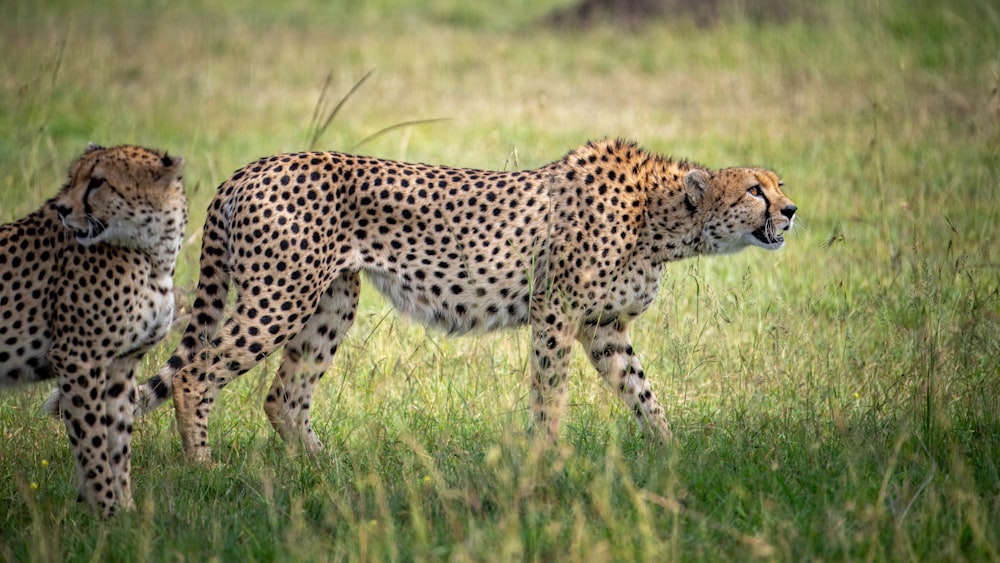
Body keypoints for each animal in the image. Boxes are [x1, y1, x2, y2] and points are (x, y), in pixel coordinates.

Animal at [1, 144, 189, 516]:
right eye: (73, 178)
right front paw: (105, 510)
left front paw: (125, 511)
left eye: (98, 182)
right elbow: (92, 441)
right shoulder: (77, 359)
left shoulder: (120, 364)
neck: (153, 255)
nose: (61, 208)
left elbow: (118, 439)